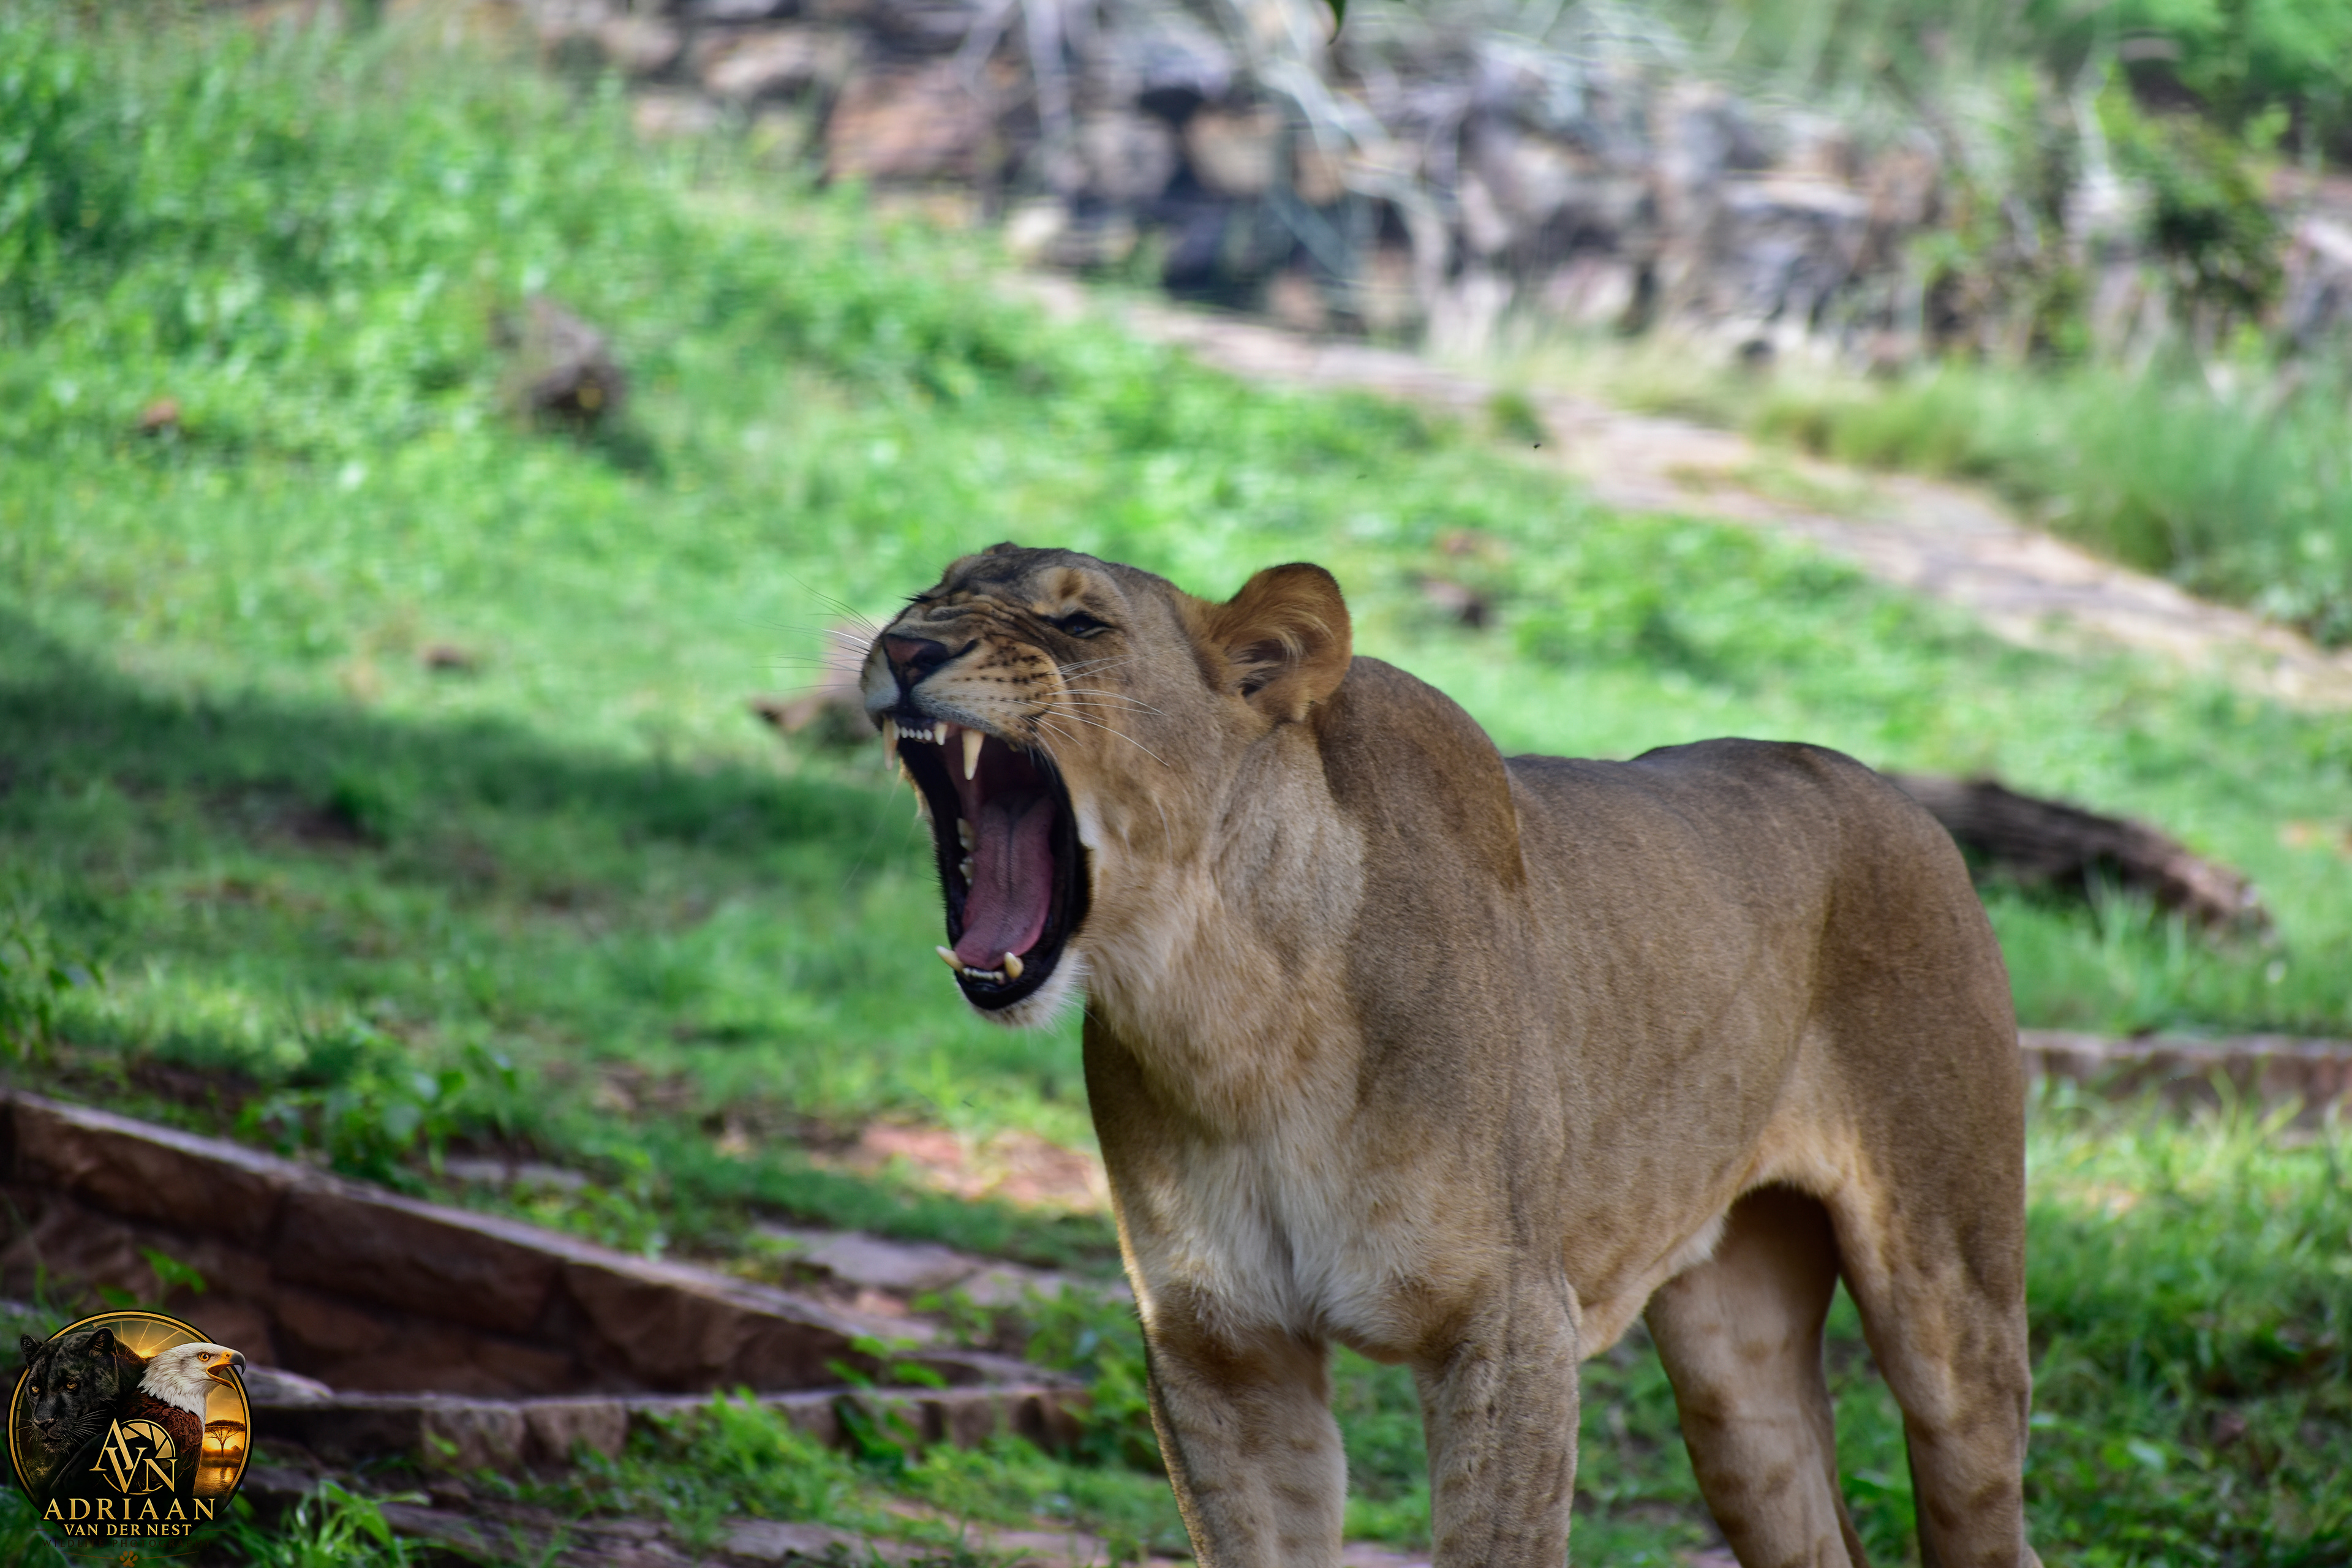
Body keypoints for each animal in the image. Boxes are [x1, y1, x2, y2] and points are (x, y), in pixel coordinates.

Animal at [861, 545, 2038, 1568]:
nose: (905, 647)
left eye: (1079, 623)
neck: (1231, 1020)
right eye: (927, 594)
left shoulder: (1511, 1330)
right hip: (1735, 1377)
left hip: (1952, 1310)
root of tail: (1893, 794)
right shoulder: (1221, 1348)